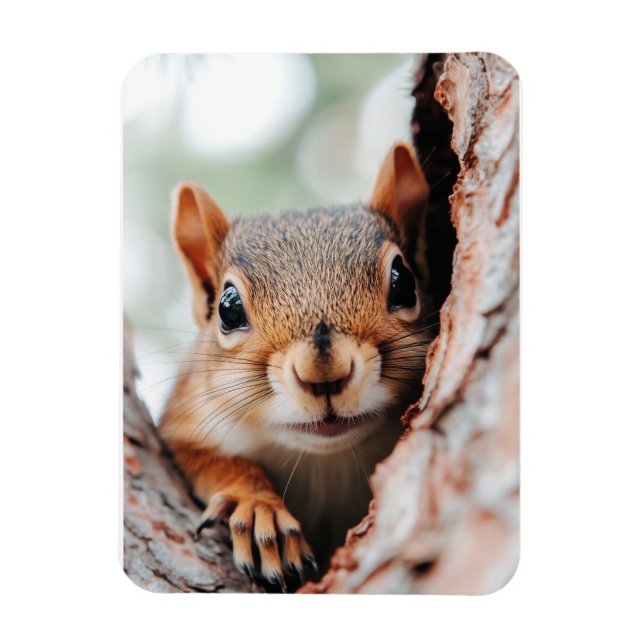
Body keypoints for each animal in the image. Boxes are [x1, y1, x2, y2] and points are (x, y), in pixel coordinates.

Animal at [158, 142, 433, 590]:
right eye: (228, 308)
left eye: (404, 282)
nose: (324, 373)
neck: (324, 462)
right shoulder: (181, 423)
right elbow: (210, 460)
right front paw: (257, 509)